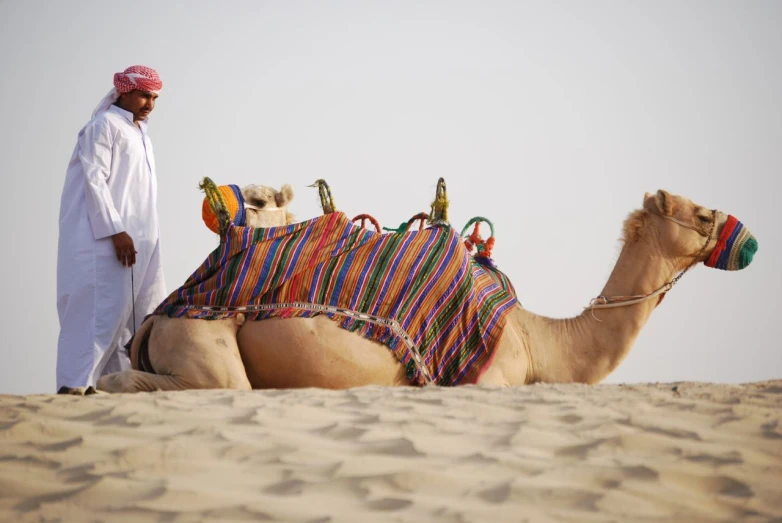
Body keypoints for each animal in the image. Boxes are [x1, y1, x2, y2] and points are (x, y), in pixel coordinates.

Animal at [95, 184, 756, 392]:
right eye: (701, 214)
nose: (748, 239)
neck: (536, 342)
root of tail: (157, 315)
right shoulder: (484, 381)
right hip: (202, 341)